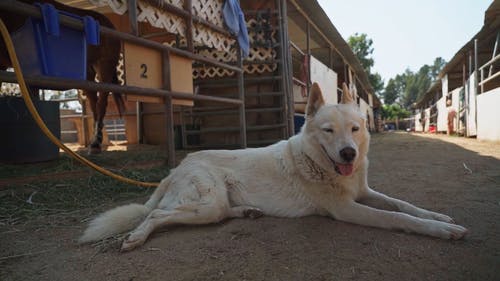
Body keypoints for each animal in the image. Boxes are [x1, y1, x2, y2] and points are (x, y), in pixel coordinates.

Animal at [80, 82, 466, 250]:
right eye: (329, 131)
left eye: (355, 129)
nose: (348, 154)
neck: (317, 162)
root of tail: (179, 166)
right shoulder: (347, 209)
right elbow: (398, 218)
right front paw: (442, 230)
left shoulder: (365, 192)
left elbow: (402, 204)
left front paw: (440, 217)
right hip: (207, 202)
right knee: (158, 215)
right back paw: (136, 236)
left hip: (214, 205)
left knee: (217, 213)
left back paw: (249, 211)